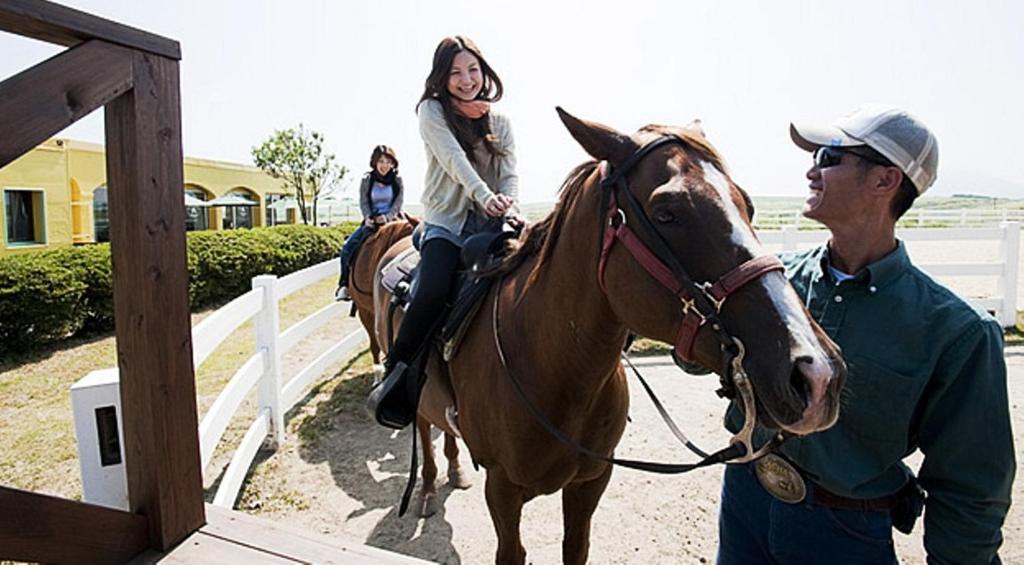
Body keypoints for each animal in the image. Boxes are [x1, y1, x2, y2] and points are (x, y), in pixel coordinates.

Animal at [372, 110, 843, 565]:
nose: (817, 373)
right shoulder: (503, 490)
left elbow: (576, 548)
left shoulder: (591, 481)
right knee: (423, 429)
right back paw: (428, 488)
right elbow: (511, 552)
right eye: (666, 212)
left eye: (747, 205)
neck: (555, 370)